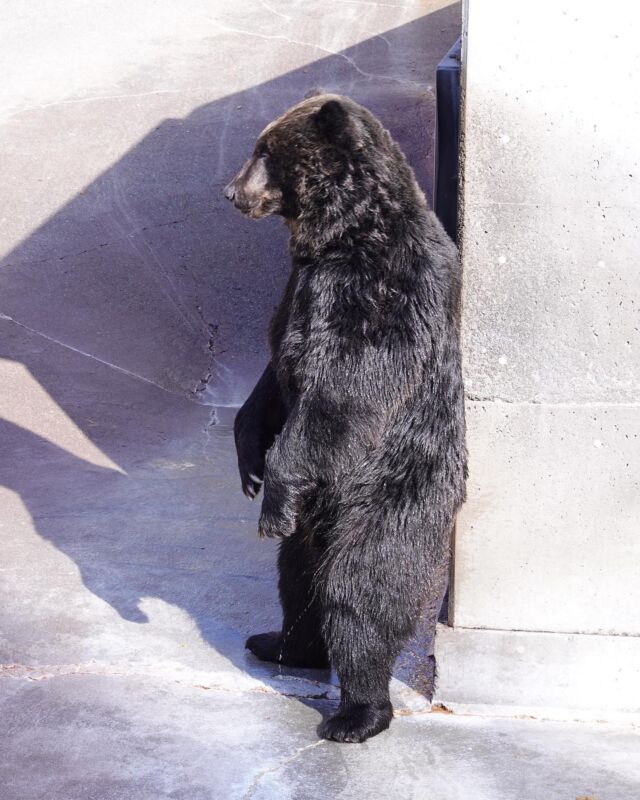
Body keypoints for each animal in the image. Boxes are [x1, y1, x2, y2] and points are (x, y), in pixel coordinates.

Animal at [224, 94, 466, 743]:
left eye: (265, 151)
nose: (231, 192)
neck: (338, 236)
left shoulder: (377, 288)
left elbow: (343, 388)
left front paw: (272, 490)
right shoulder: (299, 286)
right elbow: (273, 371)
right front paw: (249, 459)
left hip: (387, 493)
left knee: (359, 590)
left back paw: (357, 712)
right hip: (321, 521)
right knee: (297, 579)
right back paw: (280, 642)